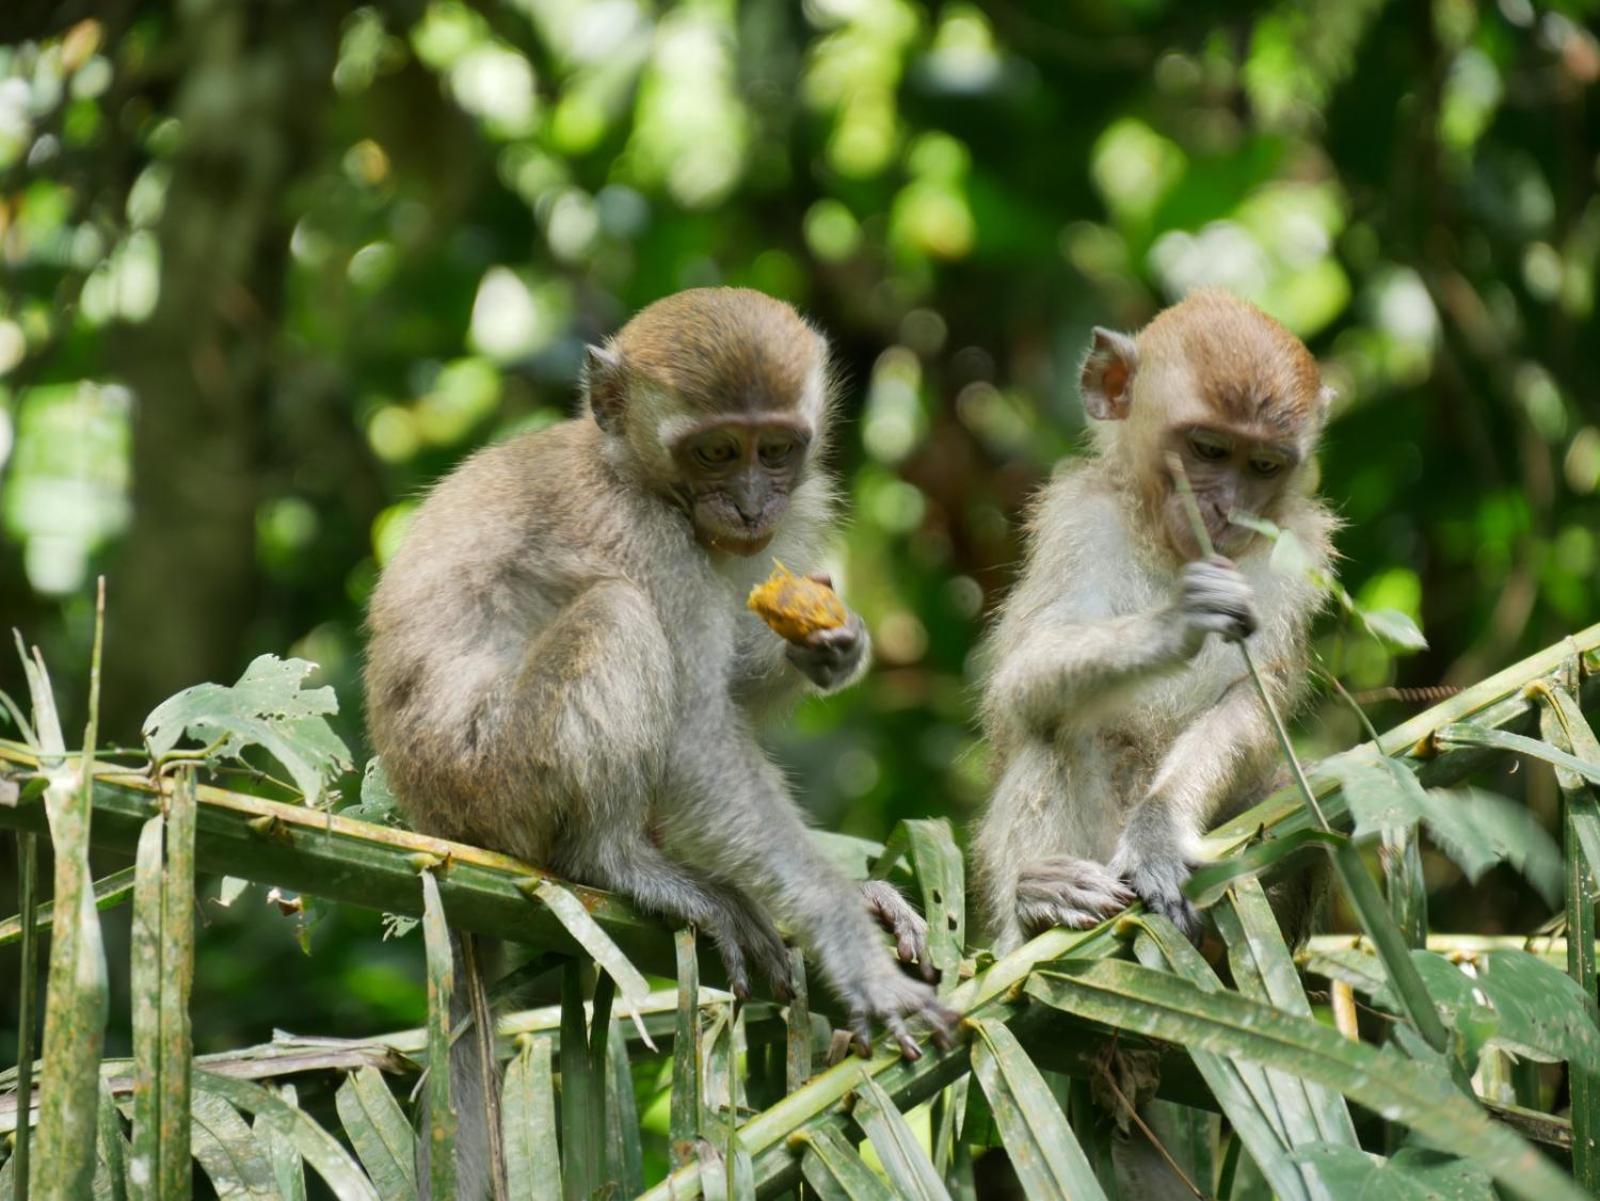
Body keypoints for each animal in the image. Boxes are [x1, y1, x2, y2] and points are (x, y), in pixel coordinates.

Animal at [366, 286, 953, 1196]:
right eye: (714, 450)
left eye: (775, 449)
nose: (750, 506)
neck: (637, 474)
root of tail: (434, 832)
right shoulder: (643, 536)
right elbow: (693, 736)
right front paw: (845, 935)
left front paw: (835, 643)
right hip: (497, 778)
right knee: (616, 615)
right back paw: (617, 860)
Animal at [972, 286, 1337, 953]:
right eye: (1209, 449)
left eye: (1264, 466)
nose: (1225, 509)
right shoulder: (1078, 519)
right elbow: (1022, 680)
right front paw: (1179, 621)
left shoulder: (1296, 553)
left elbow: (1249, 701)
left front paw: (1157, 829)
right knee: (1050, 732)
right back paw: (1037, 908)